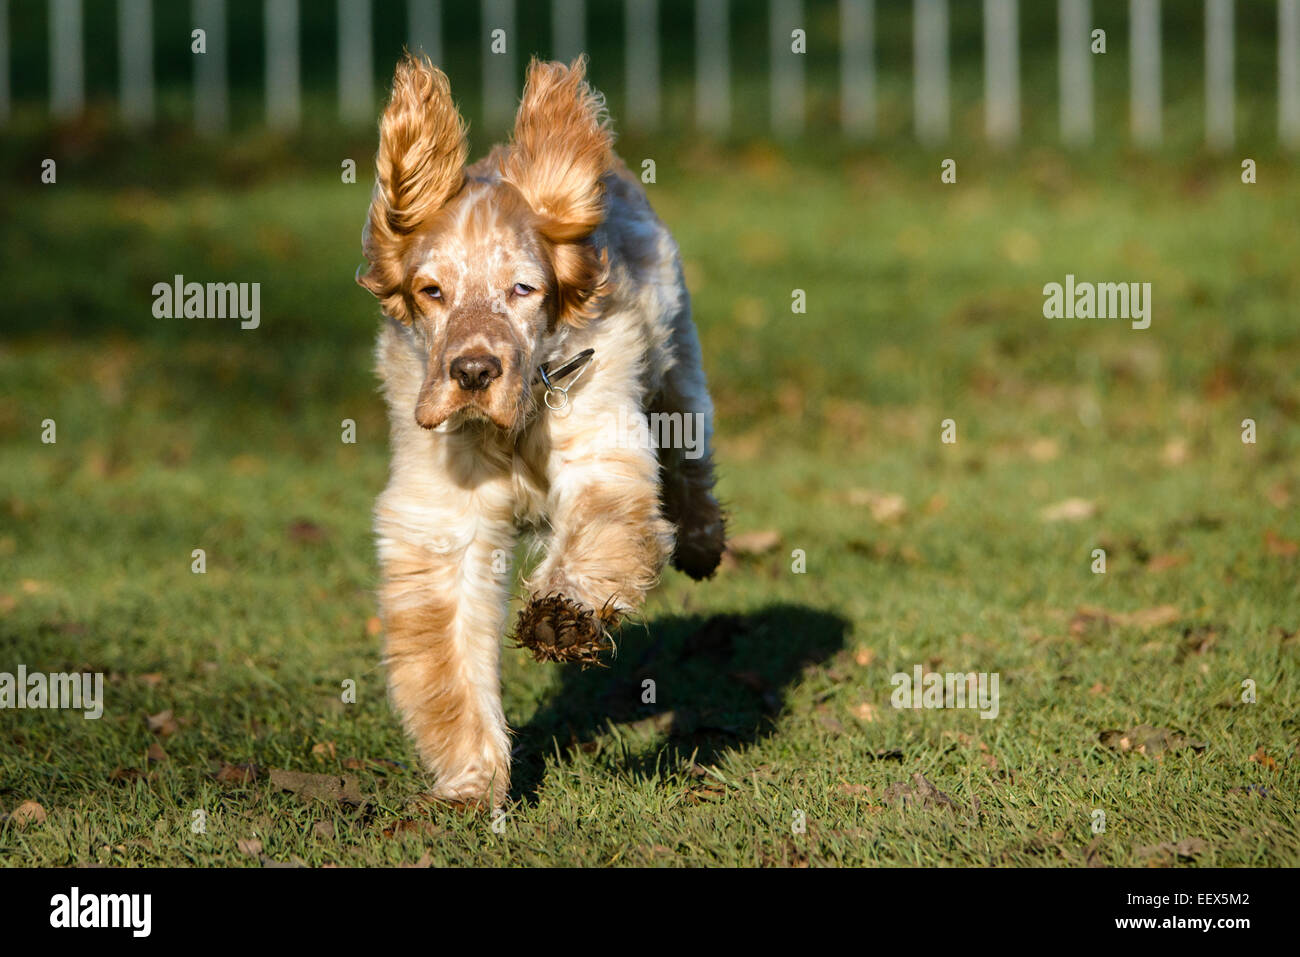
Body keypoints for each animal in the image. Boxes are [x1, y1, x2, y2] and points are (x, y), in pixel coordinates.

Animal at [356, 54, 728, 806]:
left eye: (523, 288)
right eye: (431, 291)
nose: (472, 369)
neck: (513, 426)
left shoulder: (601, 448)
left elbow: (601, 526)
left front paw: (564, 614)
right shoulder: (445, 519)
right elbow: (449, 654)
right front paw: (473, 776)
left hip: (677, 364)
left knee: (691, 461)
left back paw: (704, 541)